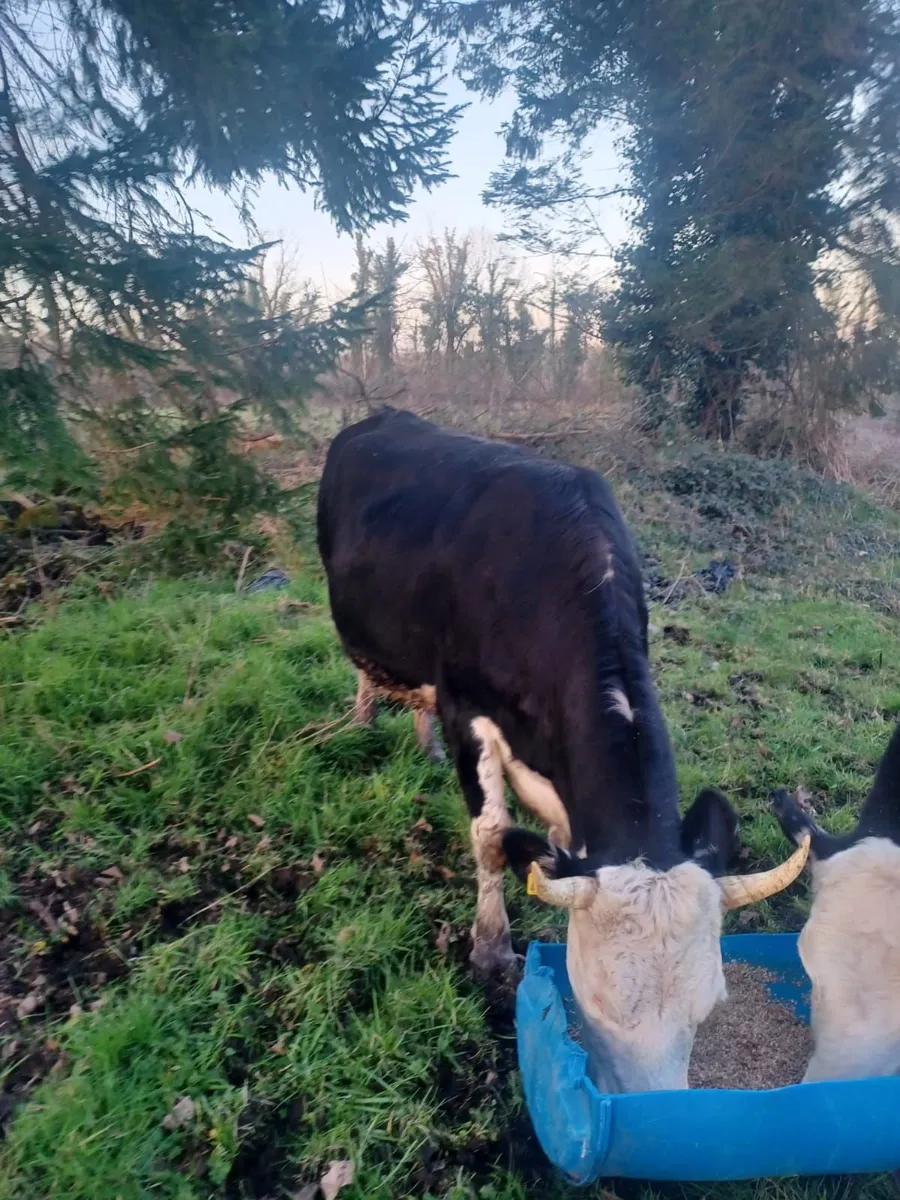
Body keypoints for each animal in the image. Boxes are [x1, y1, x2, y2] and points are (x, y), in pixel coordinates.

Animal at [317, 408, 809, 1093]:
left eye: (711, 1007)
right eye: (596, 1002)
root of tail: (383, 417)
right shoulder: (465, 708)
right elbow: (492, 836)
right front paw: (491, 947)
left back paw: (425, 747)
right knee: (367, 672)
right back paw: (363, 722)